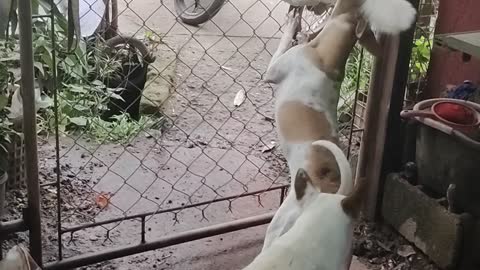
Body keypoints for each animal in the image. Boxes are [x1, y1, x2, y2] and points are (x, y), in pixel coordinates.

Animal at [262, 0, 416, 253]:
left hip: (279, 224)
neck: (327, 54)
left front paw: (293, 25)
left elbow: (283, 43)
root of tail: (336, 193)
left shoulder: (274, 69)